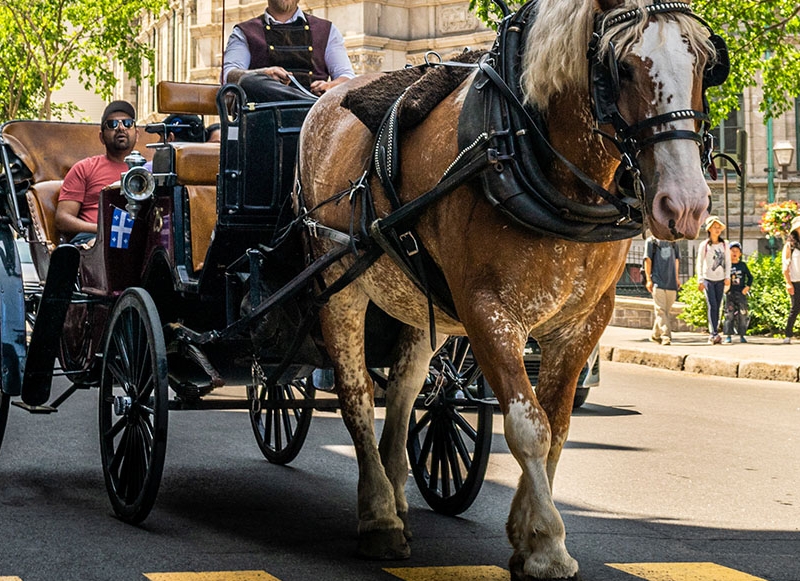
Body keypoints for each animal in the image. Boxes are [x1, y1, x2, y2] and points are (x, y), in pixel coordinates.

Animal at [296, 0, 720, 576]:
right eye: (623, 69)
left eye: (704, 63)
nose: (686, 205)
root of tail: (324, 97)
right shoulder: (487, 313)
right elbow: (527, 426)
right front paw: (547, 544)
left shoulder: (584, 321)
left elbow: (557, 425)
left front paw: (528, 531)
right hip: (340, 286)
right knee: (357, 393)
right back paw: (379, 514)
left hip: (417, 296)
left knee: (405, 389)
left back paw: (397, 493)